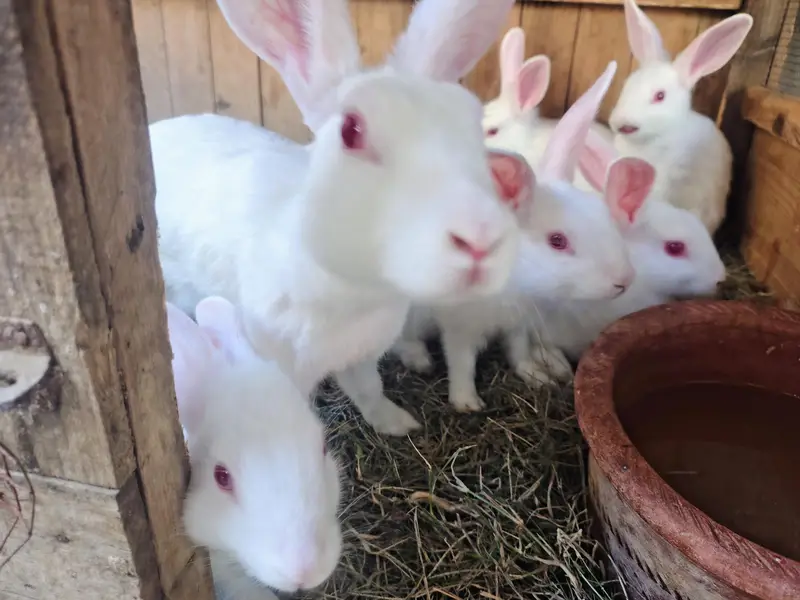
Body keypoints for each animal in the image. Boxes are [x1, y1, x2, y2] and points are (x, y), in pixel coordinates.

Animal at [152, 0, 531, 411]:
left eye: (477, 129)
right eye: (351, 130)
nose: (481, 239)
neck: (356, 294)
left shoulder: (364, 354)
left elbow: (369, 389)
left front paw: (397, 421)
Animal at [335, 61, 644, 421]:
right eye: (557, 240)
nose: (624, 280)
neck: (516, 283)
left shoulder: (519, 324)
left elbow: (518, 350)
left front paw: (536, 376)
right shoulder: (460, 326)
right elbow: (462, 362)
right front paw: (466, 402)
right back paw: (419, 359)